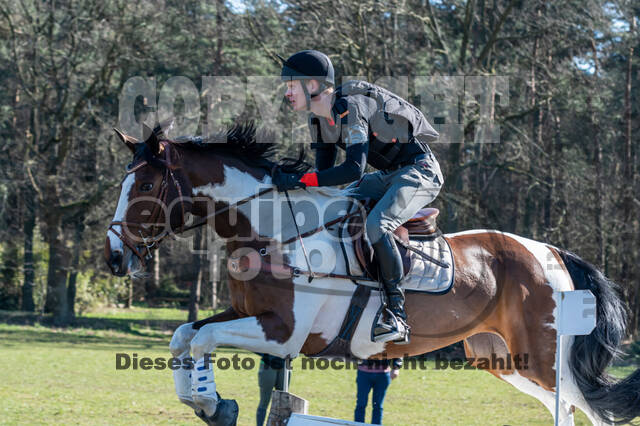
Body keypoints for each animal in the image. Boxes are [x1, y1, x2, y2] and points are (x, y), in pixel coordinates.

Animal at [105, 121, 640, 424]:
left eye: (146, 185)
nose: (113, 258)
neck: (272, 229)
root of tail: (554, 253)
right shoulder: (246, 315)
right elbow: (184, 336)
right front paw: (210, 404)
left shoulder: (282, 333)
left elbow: (199, 339)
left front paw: (213, 406)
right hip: (504, 359)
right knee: (565, 407)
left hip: (547, 358)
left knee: (589, 407)